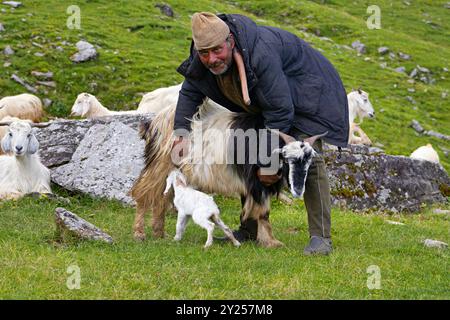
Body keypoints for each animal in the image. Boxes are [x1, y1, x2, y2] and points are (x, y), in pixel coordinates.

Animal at [132, 101, 326, 246]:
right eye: (287, 157)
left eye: (309, 159)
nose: (298, 188)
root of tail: (154, 122)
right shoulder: (257, 182)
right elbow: (263, 212)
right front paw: (271, 242)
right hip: (159, 166)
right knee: (144, 194)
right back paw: (139, 233)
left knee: (161, 198)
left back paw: (159, 233)